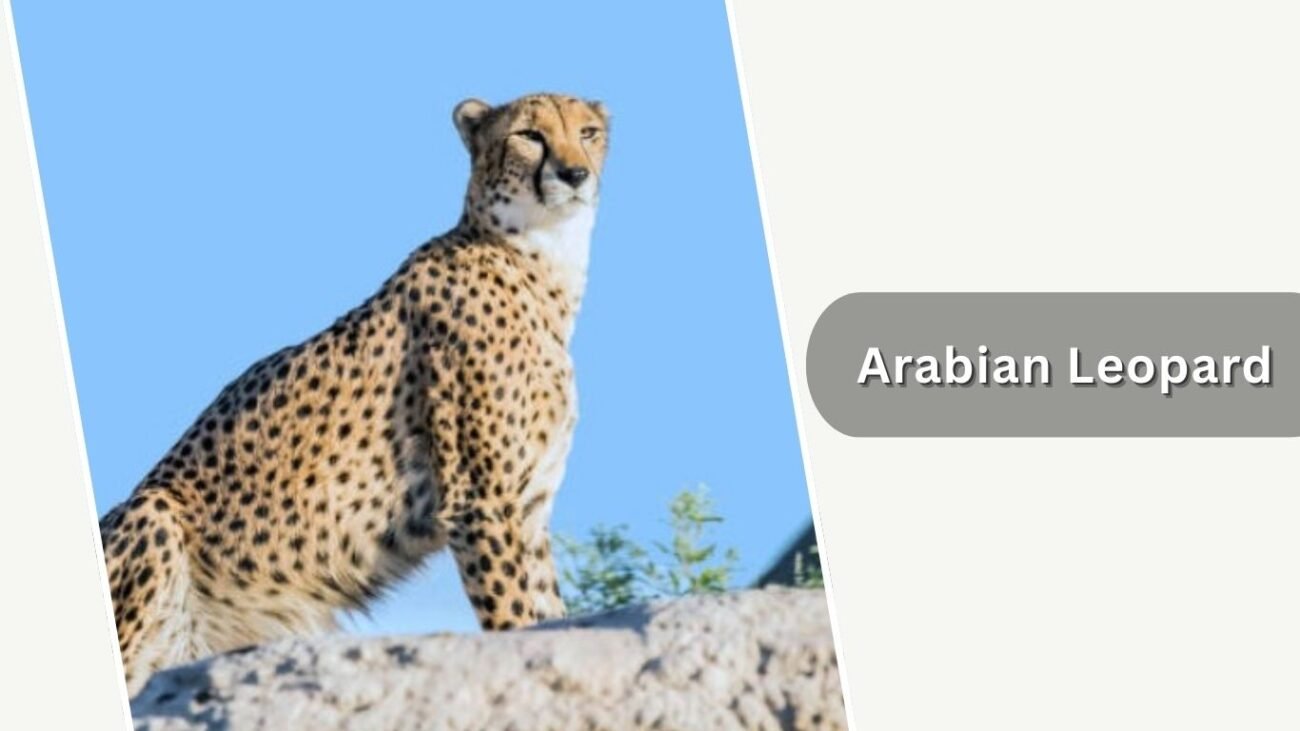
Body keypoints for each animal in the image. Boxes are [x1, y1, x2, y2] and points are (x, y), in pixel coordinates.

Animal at [97, 92, 610, 694]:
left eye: (589, 132)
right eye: (529, 135)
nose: (574, 174)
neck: (541, 258)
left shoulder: (526, 511)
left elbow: (550, 616)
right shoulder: (481, 501)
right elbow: (512, 619)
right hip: (153, 513)